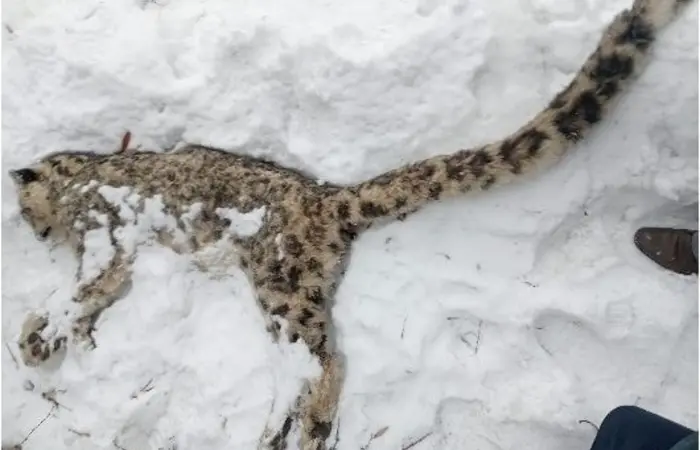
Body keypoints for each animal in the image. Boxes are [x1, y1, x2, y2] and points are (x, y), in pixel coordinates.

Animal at [7, 0, 692, 449]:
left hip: (281, 290)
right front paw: (61, 335)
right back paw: (280, 432)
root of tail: (325, 199)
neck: (80, 179)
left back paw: (298, 435)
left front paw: (37, 338)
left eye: (21, 211)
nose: (35, 235)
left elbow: (79, 290)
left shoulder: (104, 243)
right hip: (289, 300)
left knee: (323, 365)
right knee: (305, 367)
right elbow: (87, 303)